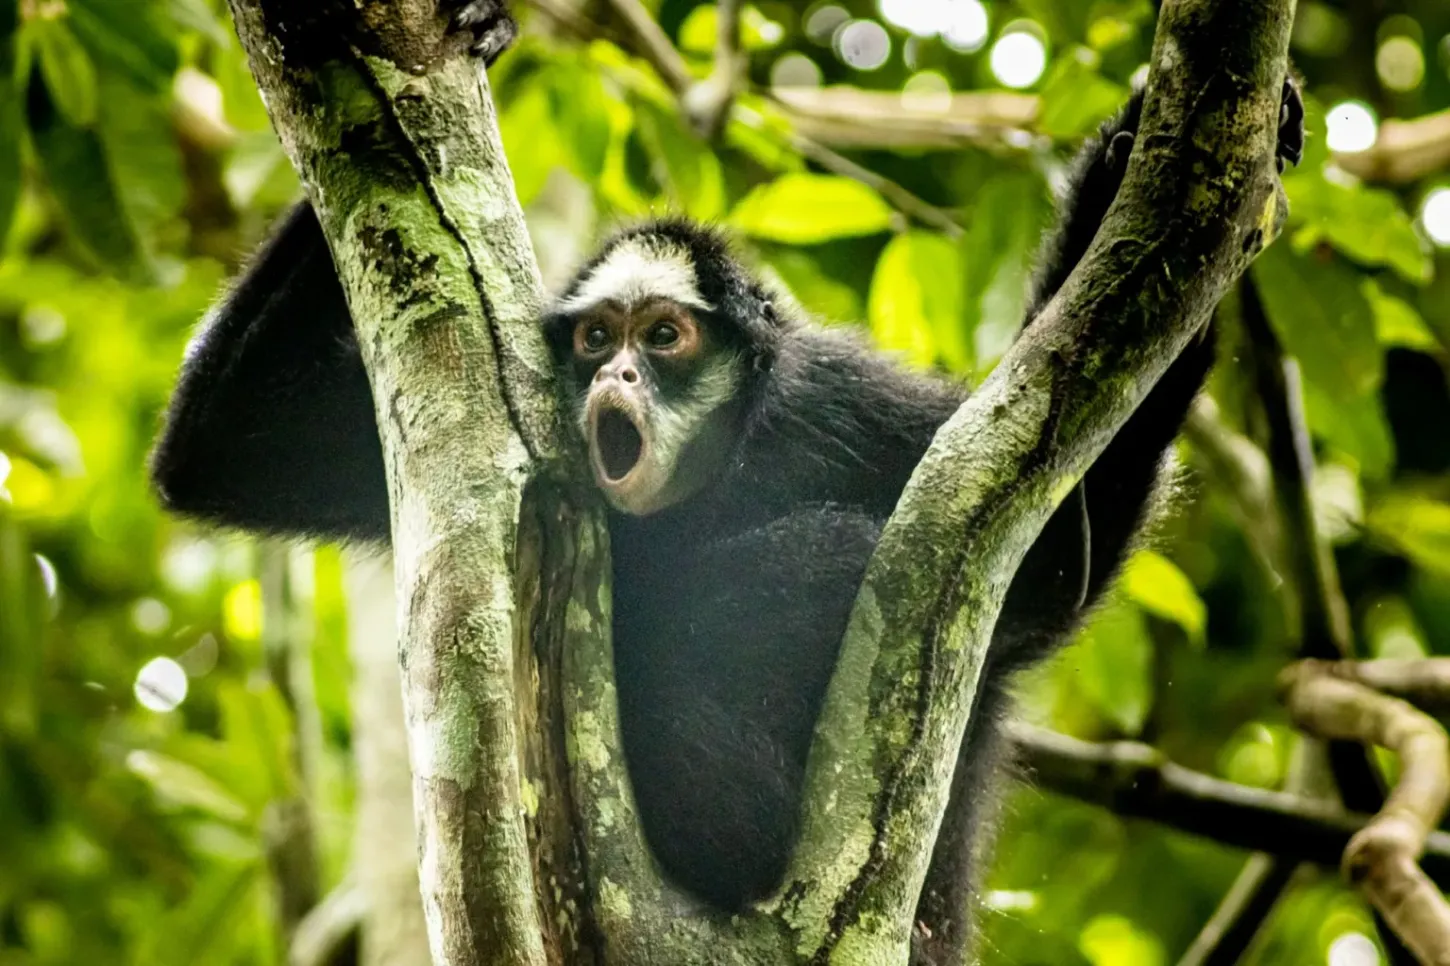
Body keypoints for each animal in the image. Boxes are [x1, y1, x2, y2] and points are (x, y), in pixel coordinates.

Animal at [149, 8, 1306, 957]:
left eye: (663, 338)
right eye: (598, 340)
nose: (614, 376)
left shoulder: (832, 398)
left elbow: (1054, 565)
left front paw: (1138, 161)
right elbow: (225, 452)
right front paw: (461, 36)